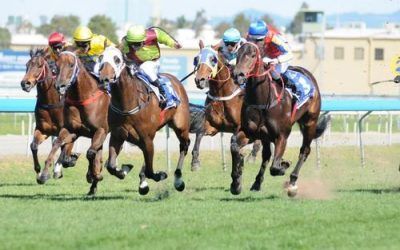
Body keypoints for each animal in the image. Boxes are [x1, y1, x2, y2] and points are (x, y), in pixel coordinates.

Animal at [21, 48, 79, 183]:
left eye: (39, 65)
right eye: (26, 65)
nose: (25, 83)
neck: (51, 101)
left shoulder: (66, 130)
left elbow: (58, 144)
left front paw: (45, 174)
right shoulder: (43, 129)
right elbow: (33, 146)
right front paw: (38, 172)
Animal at [42, 48, 110, 195]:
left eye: (71, 64)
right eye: (56, 65)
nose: (60, 85)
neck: (83, 97)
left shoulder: (101, 130)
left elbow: (90, 153)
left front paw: (93, 175)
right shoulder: (72, 130)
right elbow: (57, 143)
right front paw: (43, 174)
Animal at [97, 47, 190, 195]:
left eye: (117, 59)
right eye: (101, 57)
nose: (104, 77)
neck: (127, 102)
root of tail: (176, 80)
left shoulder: (146, 137)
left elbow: (151, 171)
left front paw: (160, 175)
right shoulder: (117, 135)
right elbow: (111, 166)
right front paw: (124, 170)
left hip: (181, 126)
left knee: (184, 146)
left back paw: (178, 180)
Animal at [231, 42, 328, 196]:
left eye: (252, 55)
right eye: (237, 53)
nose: (237, 74)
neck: (263, 100)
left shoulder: (282, 136)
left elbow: (275, 167)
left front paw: (284, 164)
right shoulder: (251, 132)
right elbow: (235, 146)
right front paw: (236, 182)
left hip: (310, 122)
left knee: (304, 151)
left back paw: (292, 182)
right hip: (265, 136)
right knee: (266, 155)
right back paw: (257, 183)